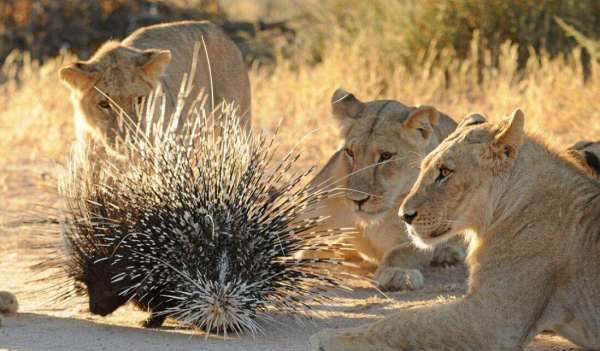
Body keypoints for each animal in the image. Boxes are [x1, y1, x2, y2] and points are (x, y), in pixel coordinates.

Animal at [312, 110, 600, 351]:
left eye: (445, 172)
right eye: (424, 168)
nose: (404, 216)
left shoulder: (493, 320)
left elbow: (407, 321)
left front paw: (332, 337)